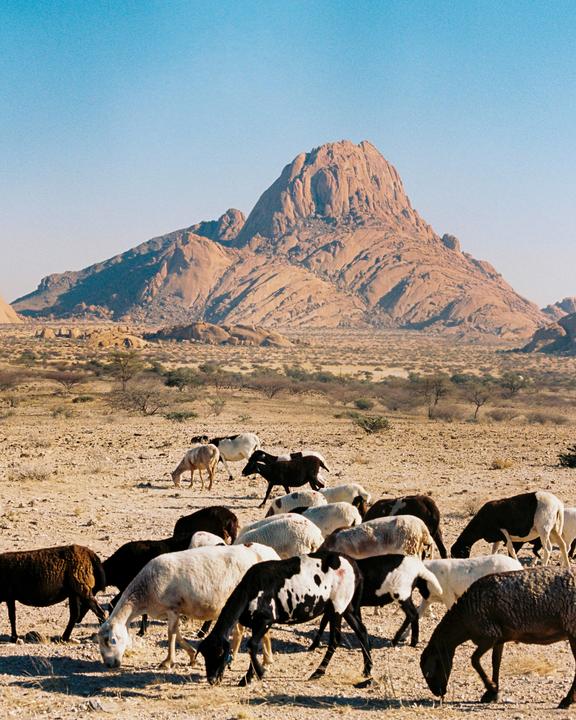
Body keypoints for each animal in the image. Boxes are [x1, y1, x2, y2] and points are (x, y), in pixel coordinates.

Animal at [98, 543, 280, 669]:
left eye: (112, 640)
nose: (109, 664)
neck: (144, 594)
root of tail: (270, 554)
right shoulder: (172, 611)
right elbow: (177, 634)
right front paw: (192, 656)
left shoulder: (172, 607)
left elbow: (171, 634)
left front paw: (167, 662)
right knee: (241, 631)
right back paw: (244, 658)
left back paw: (266, 659)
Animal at [197, 551, 373, 687]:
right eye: (205, 655)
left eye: (220, 653)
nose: (211, 679)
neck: (249, 590)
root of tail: (353, 564)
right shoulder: (256, 624)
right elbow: (254, 646)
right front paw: (249, 677)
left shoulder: (266, 621)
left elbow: (252, 645)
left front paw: (258, 673)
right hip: (348, 608)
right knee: (362, 631)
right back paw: (367, 669)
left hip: (337, 605)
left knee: (335, 639)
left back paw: (318, 672)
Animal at [311, 554, 443, 649]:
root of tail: (419, 568)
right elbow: (325, 622)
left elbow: (323, 623)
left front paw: (313, 645)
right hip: (405, 596)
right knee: (411, 615)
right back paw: (400, 640)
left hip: (401, 595)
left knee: (412, 614)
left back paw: (409, 642)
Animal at [420, 567, 576, 708]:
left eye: (429, 673)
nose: (438, 693)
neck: (463, 619)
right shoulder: (499, 638)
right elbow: (496, 662)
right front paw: (493, 693)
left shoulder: (489, 635)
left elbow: (474, 660)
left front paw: (491, 687)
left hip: (572, 628)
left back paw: (566, 701)